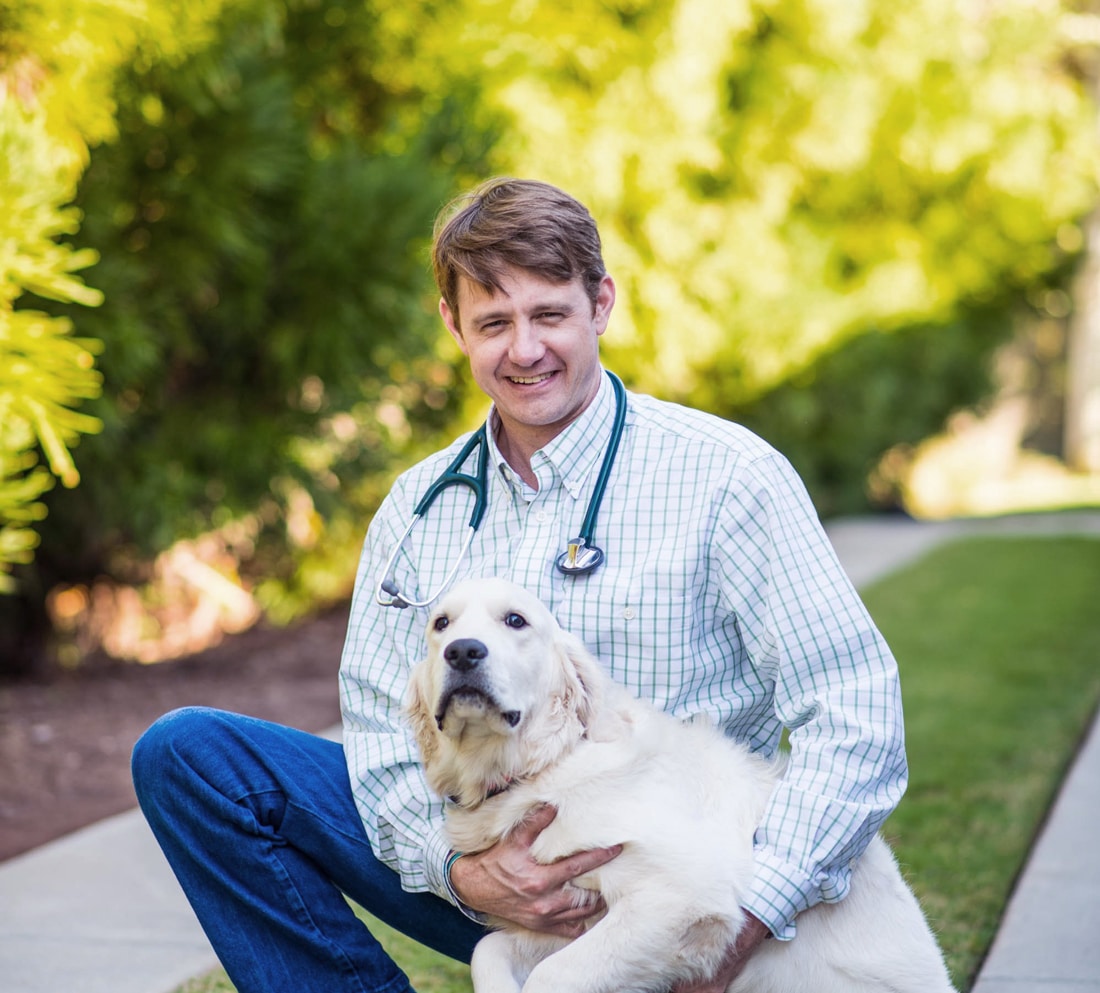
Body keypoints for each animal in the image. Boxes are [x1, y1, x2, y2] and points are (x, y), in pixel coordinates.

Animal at [409, 576, 959, 993]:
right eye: (441, 624)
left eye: (515, 620)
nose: (463, 652)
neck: (543, 766)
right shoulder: (566, 916)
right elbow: (488, 949)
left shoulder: (680, 900)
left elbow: (551, 977)